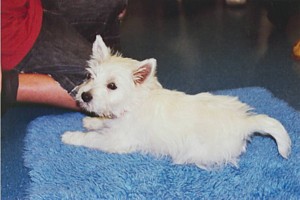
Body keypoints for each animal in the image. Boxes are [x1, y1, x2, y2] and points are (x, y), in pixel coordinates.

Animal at [62, 35, 290, 170]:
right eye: (90, 76)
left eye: (112, 86)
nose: (85, 96)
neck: (133, 104)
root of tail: (245, 122)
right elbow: (103, 123)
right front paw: (92, 121)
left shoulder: (117, 141)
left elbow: (92, 139)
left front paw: (71, 136)